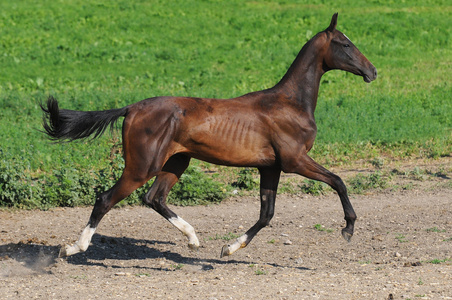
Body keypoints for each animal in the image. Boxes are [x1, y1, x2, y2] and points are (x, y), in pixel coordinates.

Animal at [40, 13, 378, 258]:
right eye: (345, 44)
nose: (373, 72)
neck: (291, 103)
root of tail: (131, 108)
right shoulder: (295, 160)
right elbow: (338, 181)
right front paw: (348, 229)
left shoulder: (271, 166)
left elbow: (266, 214)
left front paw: (229, 247)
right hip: (142, 166)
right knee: (107, 199)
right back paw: (72, 247)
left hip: (176, 162)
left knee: (153, 198)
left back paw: (193, 239)